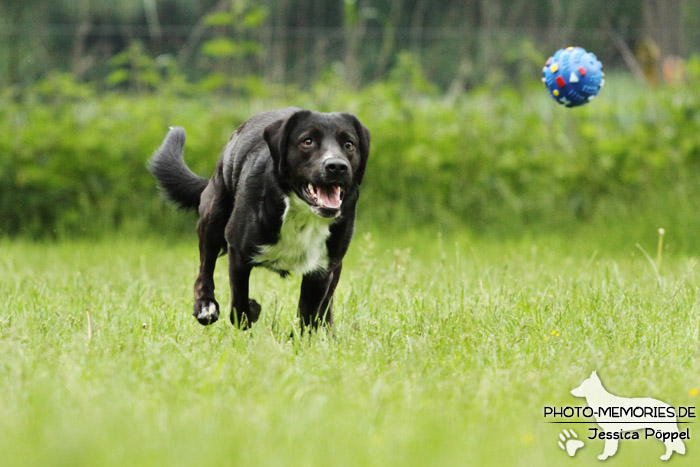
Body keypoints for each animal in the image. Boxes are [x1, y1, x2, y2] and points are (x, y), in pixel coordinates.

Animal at [149, 108, 372, 330]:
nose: (337, 166)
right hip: (213, 215)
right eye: (307, 141)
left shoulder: (321, 270)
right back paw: (206, 307)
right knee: (205, 267)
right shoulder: (237, 253)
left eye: (349, 144)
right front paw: (251, 310)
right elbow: (238, 307)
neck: (300, 214)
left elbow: (308, 316)